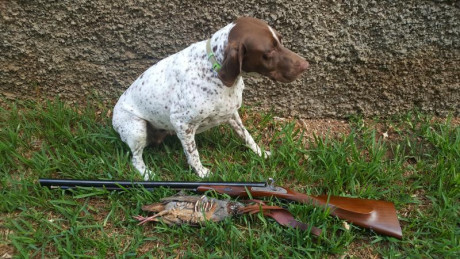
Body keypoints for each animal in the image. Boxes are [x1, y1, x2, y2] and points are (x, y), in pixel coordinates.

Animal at [113, 15, 310, 179]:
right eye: (268, 53)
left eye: (281, 40)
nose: (305, 65)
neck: (213, 69)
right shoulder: (182, 123)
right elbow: (193, 153)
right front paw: (202, 173)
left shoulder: (232, 114)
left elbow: (247, 136)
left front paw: (260, 153)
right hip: (137, 129)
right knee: (135, 159)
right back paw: (147, 173)